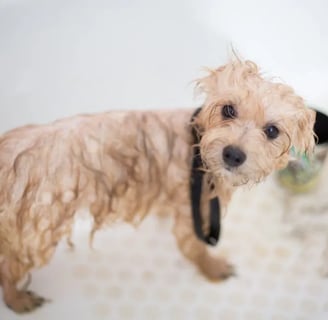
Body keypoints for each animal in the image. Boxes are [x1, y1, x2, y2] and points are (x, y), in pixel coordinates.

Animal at [0, 59, 316, 312]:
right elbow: (195, 249)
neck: (197, 146)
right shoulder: (194, 212)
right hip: (36, 230)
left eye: (272, 130)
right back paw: (17, 300)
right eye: (228, 109)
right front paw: (213, 268)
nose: (233, 154)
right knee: (8, 266)